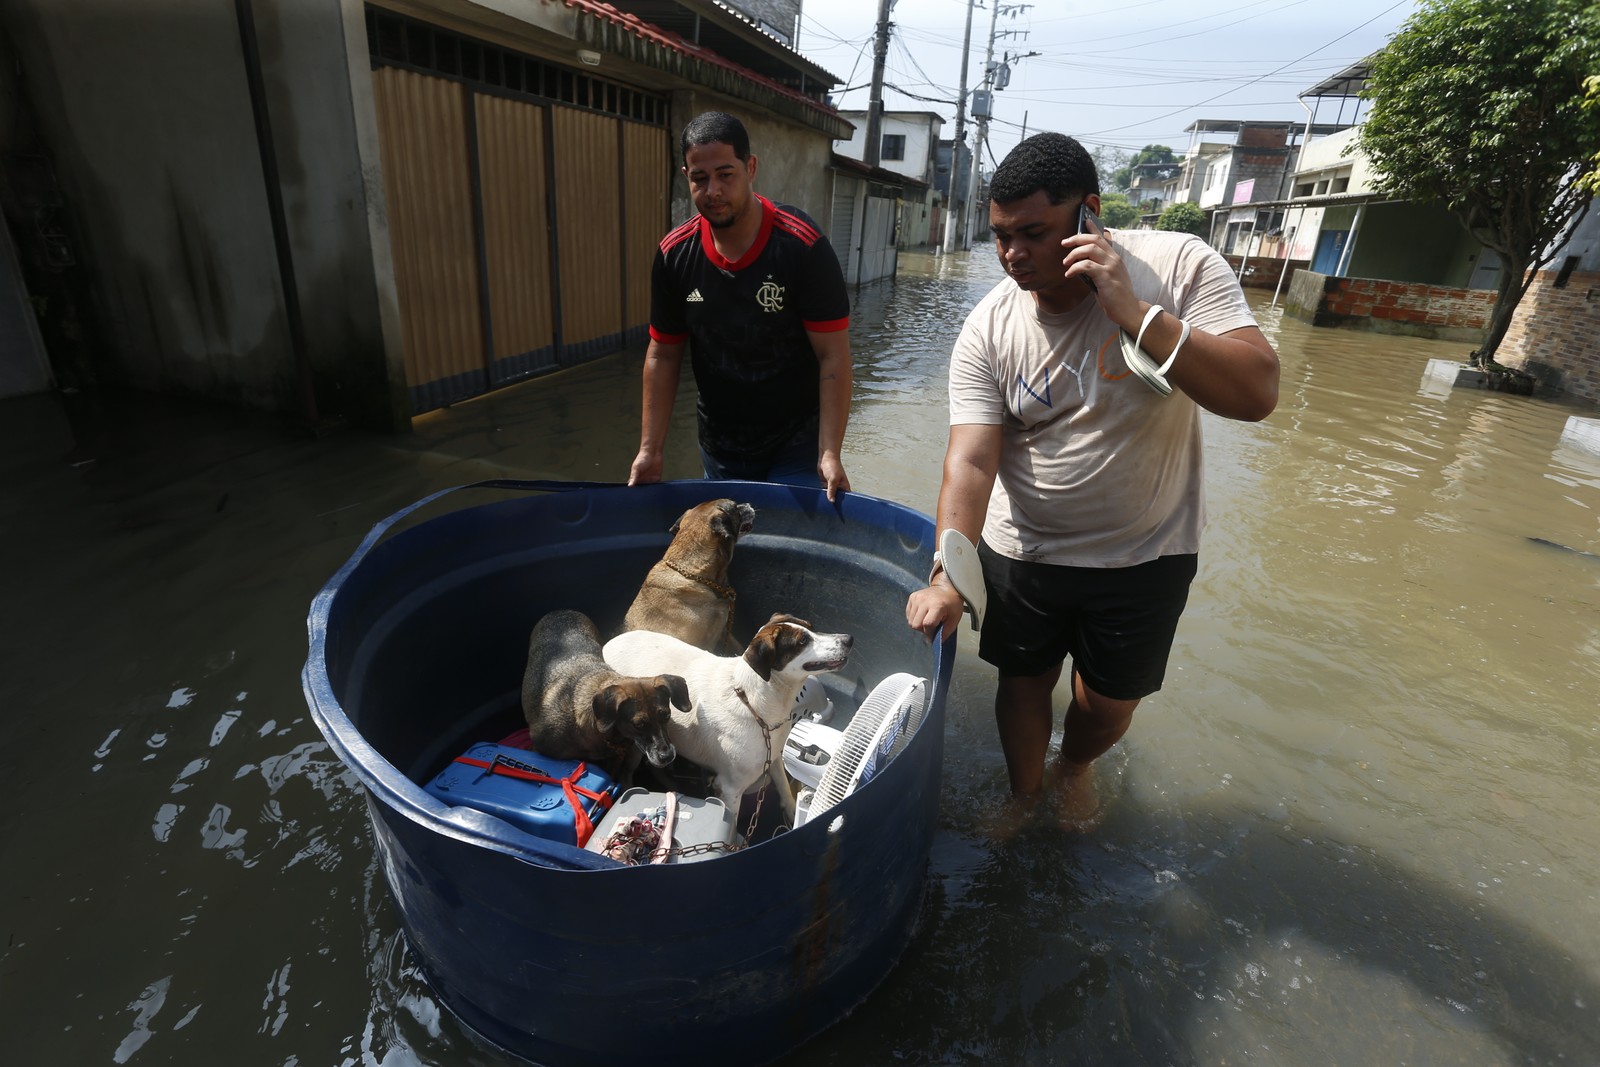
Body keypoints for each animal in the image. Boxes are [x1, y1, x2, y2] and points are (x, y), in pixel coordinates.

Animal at [601, 607, 851, 825]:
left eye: (812, 627)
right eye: (802, 642)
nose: (849, 639)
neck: (755, 702)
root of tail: (607, 644)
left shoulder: (774, 755)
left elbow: (782, 784)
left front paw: (791, 811)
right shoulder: (730, 788)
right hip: (637, 744)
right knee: (629, 770)